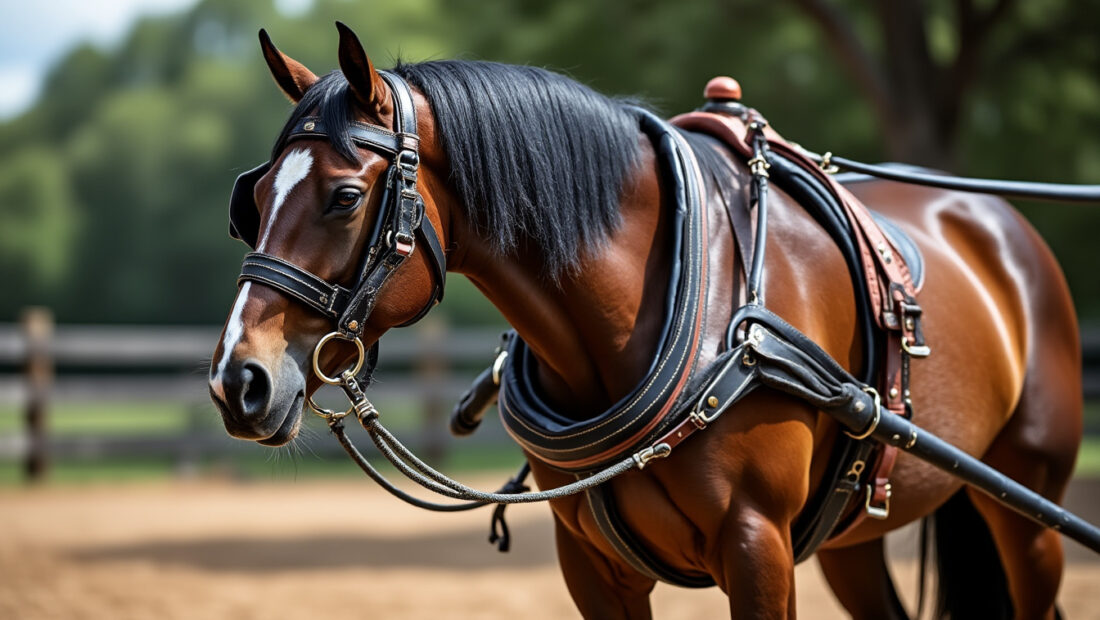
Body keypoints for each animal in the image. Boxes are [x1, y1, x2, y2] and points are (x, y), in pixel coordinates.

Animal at [208, 23, 1082, 619]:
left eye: (344, 196)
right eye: (253, 199)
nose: (236, 381)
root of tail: (998, 222)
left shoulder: (758, 546)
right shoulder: (593, 564)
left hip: (1028, 504)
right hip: (853, 539)